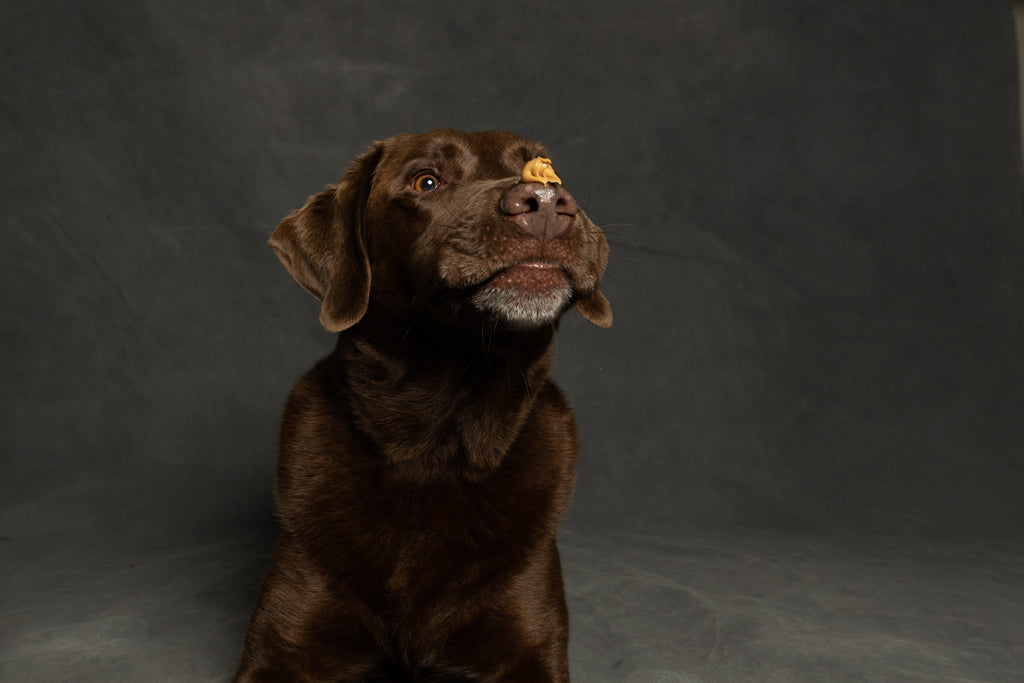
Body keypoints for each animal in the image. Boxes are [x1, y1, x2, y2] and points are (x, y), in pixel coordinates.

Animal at [234, 129, 606, 683]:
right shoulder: (283, 648)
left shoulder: (528, 646)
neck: (432, 444)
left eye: (548, 174)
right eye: (425, 181)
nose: (544, 203)